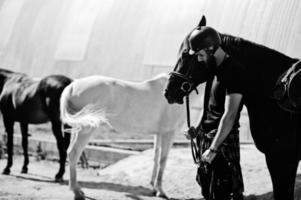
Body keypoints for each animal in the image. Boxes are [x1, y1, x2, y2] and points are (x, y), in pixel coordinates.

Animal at [59, 73, 199, 200]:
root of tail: (73, 85)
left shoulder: (159, 134)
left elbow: (155, 157)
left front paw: (153, 187)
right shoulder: (169, 133)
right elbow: (162, 161)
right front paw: (160, 191)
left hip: (78, 127)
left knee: (70, 152)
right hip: (86, 129)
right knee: (74, 153)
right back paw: (77, 192)